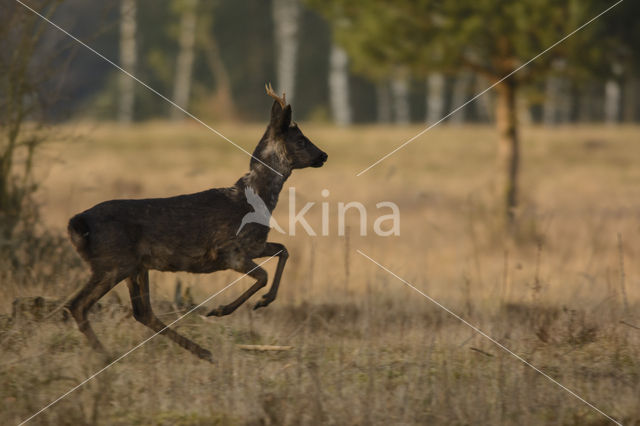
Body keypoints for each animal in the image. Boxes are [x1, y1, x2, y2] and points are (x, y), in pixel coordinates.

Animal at [63, 84, 328, 362]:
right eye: (301, 139)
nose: (324, 155)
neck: (255, 200)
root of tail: (77, 223)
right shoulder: (228, 250)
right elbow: (263, 275)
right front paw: (221, 309)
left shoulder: (255, 244)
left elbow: (283, 251)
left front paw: (264, 301)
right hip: (113, 262)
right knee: (78, 305)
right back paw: (107, 355)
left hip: (136, 265)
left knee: (142, 311)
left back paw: (202, 352)